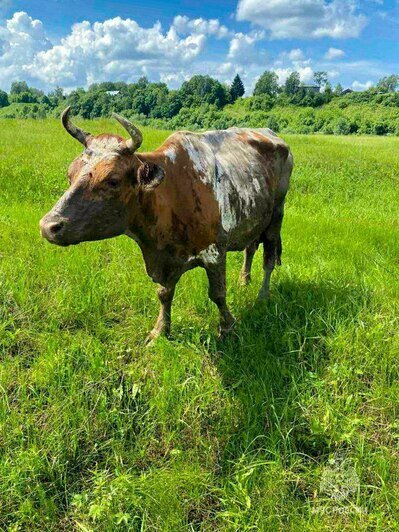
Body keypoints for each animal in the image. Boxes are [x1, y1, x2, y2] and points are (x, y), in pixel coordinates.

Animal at [39, 107, 294, 340]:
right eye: (70, 174)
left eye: (112, 180)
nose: (48, 226)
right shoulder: (164, 258)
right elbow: (164, 294)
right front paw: (160, 331)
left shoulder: (215, 252)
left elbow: (218, 294)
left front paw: (228, 328)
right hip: (255, 218)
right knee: (250, 248)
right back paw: (244, 280)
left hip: (276, 216)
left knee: (269, 259)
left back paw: (262, 296)